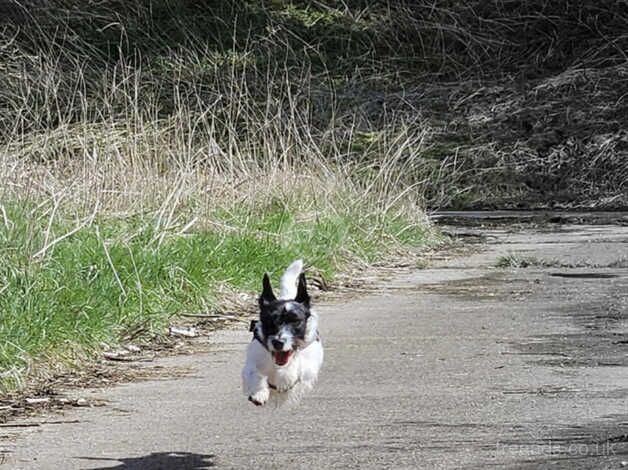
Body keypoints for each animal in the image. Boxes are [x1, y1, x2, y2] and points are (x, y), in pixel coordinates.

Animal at [242, 258, 324, 406]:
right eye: (270, 321)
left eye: (296, 321)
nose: (278, 342)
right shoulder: (251, 362)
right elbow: (255, 374)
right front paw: (259, 393)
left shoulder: (309, 367)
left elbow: (296, 373)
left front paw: (286, 378)